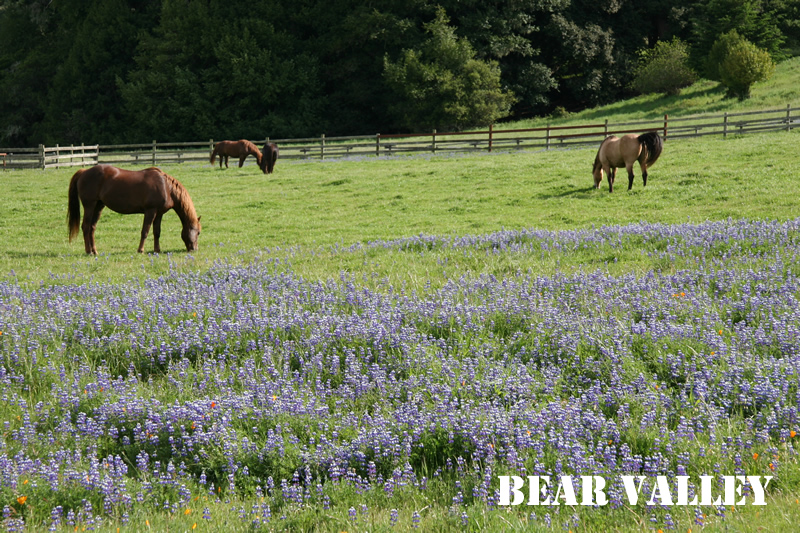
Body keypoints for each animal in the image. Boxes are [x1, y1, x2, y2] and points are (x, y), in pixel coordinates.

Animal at [67, 163, 202, 255]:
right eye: (199, 232)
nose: (194, 249)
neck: (166, 187)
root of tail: (84, 171)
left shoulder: (159, 214)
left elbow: (157, 232)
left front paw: (157, 250)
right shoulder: (150, 211)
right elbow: (145, 231)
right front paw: (140, 250)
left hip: (98, 206)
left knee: (92, 227)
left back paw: (95, 251)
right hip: (89, 205)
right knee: (85, 226)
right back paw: (88, 251)